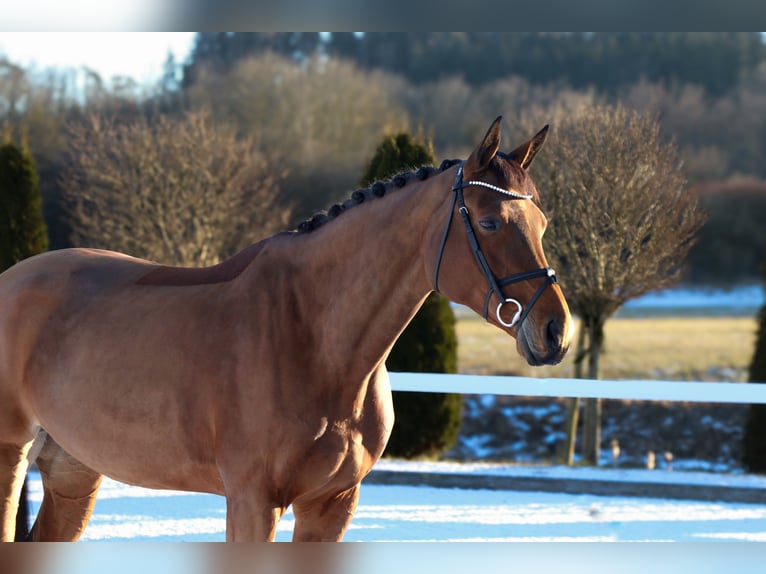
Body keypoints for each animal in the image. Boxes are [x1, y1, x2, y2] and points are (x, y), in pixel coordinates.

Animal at [0, 118, 572, 544]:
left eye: (543, 226)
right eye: (490, 222)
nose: (555, 332)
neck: (314, 338)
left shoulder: (331, 505)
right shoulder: (253, 503)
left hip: (73, 471)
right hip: (11, 457)